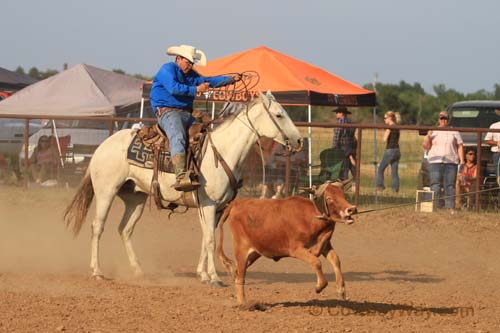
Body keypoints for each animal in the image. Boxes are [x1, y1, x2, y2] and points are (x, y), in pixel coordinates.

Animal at [64, 91, 302, 286]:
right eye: (279, 115)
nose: (299, 140)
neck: (222, 152)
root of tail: (102, 147)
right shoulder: (208, 205)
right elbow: (210, 240)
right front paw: (214, 278)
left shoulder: (216, 208)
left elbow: (206, 237)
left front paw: (202, 274)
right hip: (106, 191)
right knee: (97, 227)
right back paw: (97, 272)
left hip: (135, 197)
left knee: (125, 229)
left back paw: (138, 270)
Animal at [218, 180, 356, 308]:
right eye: (329, 199)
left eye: (344, 195)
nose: (351, 209)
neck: (311, 217)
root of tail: (237, 203)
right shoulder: (296, 249)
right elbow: (316, 261)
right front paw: (319, 286)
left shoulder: (325, 245)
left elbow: (335, 260)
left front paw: (341, 290)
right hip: (241, 249)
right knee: (240, 275)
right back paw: (244, 304)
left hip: (254, 253)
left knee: (237, 272)